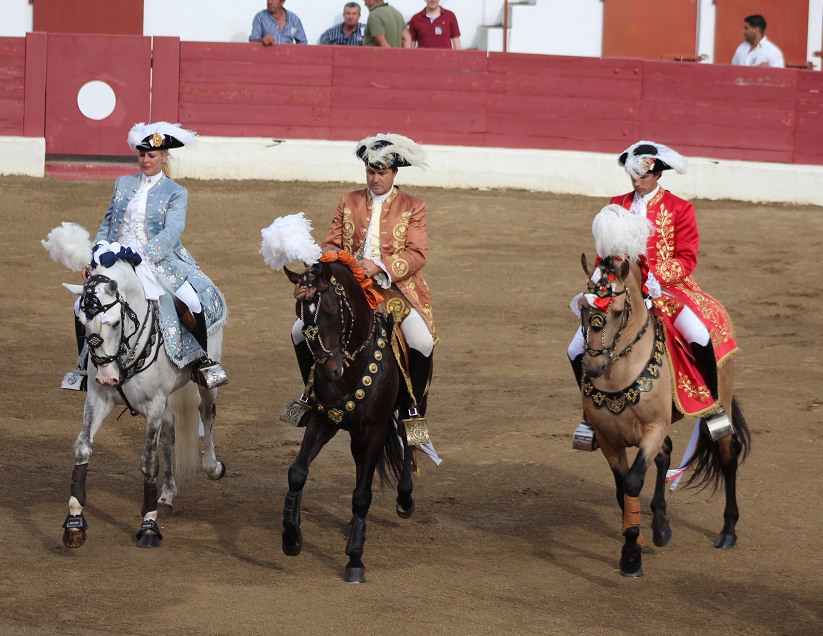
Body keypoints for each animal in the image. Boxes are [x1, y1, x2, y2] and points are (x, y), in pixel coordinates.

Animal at [61, 257, 227, 548]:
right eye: (81, 323)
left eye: (116, 323)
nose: (107, 377)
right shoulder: (99, 398)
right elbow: (82, 448)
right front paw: (74, 521)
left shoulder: (153, 404)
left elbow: (149, 462)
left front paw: (148, 527)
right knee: (171, 430)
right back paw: (167, 496)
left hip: (206, 382)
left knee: (206, 414)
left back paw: (212, 467)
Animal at [282, 258, 418, 583]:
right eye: (299, 314)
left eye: (332, 312)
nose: (329, 371)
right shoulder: (323, 421)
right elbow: (297, 472)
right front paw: (291, 537)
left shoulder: (376, 430)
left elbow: (362, 495)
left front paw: (355, 559)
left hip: (404, 408)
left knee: (409, 439)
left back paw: (405, 499)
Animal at [578, 254, 750, 577]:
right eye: (582, 307)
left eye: (617, 312)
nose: (593, 368)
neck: (618, 376)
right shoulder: (608, 439)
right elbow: (621, 490)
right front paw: (640, 536)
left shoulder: (654, 428)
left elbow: (632, 482)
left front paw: (631, 557)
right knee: (666, 454)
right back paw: (661, 526)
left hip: (722, 399)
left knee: (727, 456)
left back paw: (728, 532)